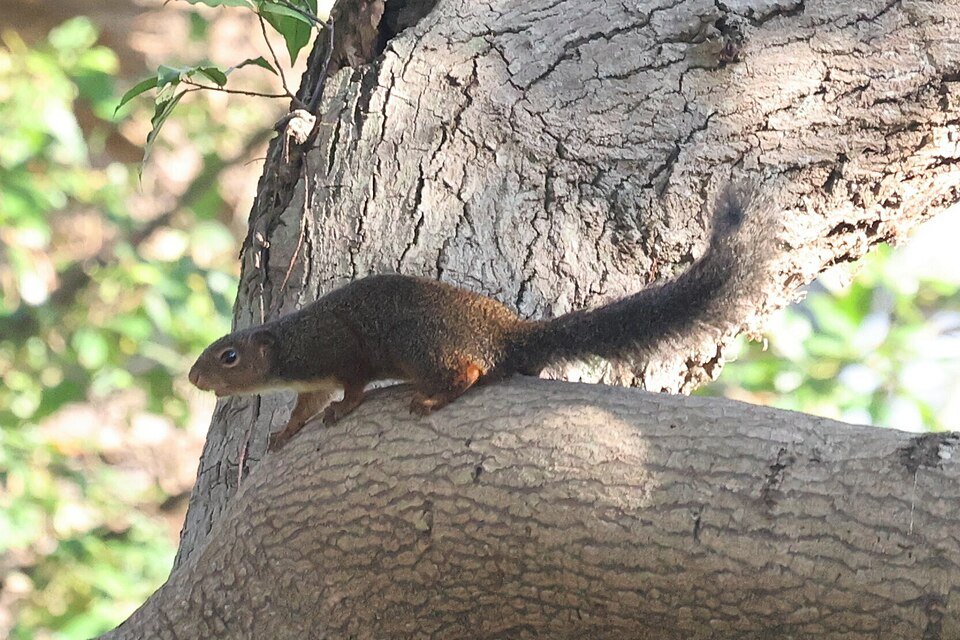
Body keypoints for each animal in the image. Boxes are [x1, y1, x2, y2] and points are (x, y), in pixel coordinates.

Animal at [189, 189, 765, 451]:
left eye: (229, 355)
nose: (194, 378)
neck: (289, 342)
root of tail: (505, 333)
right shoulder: (312, 378)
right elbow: (303, 408)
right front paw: (285, 432)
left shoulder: (336, 348)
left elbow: (350, 384)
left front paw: (342, 410)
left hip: (424, 345)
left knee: (466, 372)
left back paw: (434, 397)